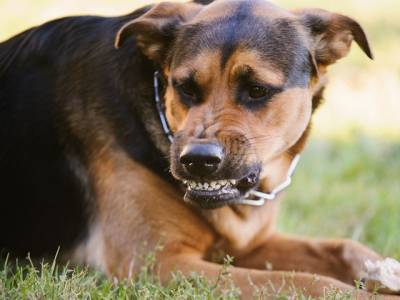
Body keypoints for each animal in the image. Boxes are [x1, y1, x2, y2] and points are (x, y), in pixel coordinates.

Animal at [0, 0, 396, 298]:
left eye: (257, 90)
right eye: (186, 87)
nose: (198, 161)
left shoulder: (250, 244)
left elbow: (342, 247)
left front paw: (386, 273)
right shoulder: (159, 264)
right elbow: (302, 282)